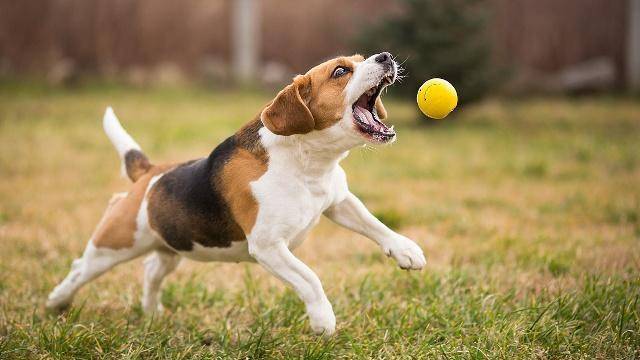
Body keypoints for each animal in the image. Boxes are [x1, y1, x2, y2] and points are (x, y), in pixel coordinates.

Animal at [47, 52, 428, 334]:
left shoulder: (338, 202)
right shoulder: (269, 247)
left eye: (362, 59)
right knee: (80, 268)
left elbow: (375, 224)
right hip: (114, 244)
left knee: (152, 269)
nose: (385, 56)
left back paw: (152, 312)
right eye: (340, 71)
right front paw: (323, 319)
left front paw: (406, 250)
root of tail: (150, 174)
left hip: (171, 246)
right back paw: (56, 303)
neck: (308, 162)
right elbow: (310, 278)